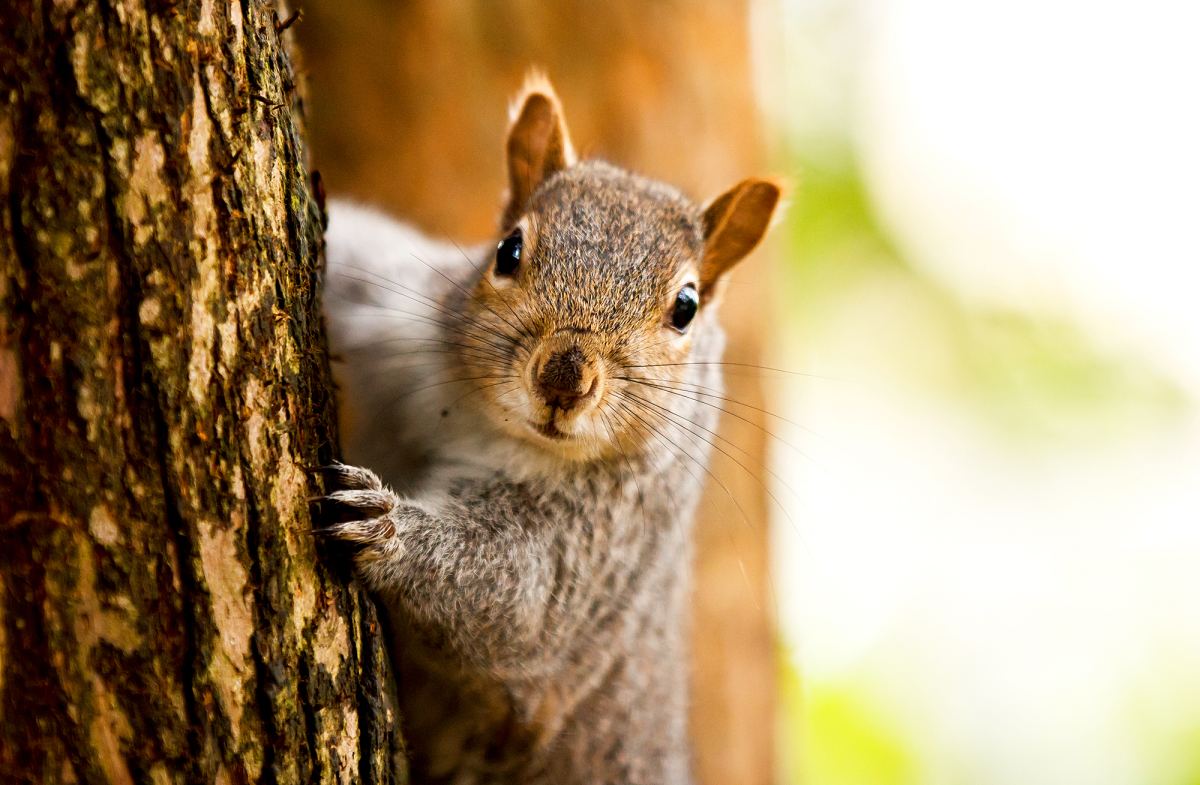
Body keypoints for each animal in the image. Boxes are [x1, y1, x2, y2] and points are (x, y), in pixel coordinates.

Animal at [315, 74, 780, 785]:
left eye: (686, 307)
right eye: (508, 249)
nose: (564, 379)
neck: (487, 423)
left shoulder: (601, 539)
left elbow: (517, 598)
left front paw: (383, 526)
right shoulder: (393, 316)